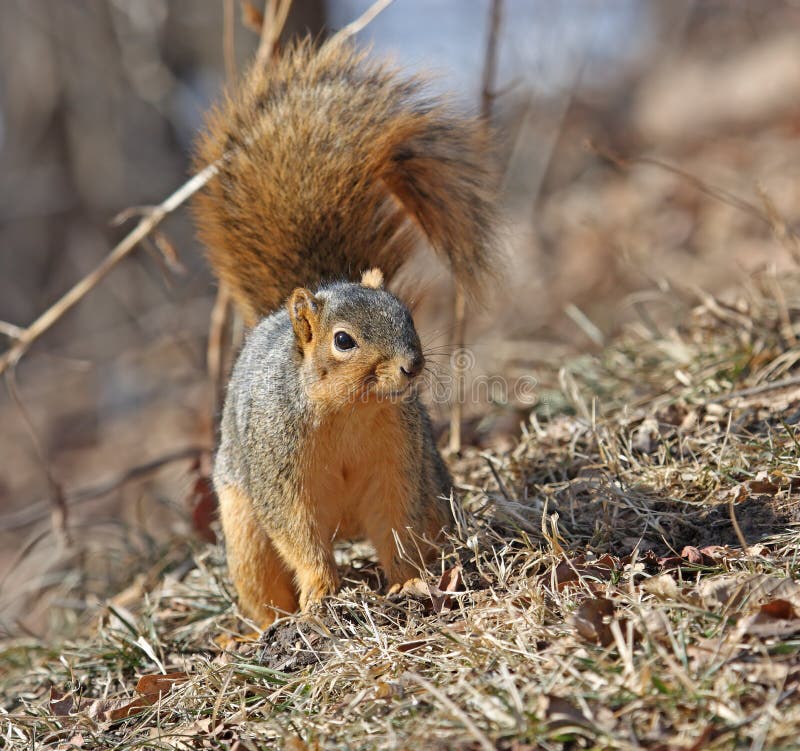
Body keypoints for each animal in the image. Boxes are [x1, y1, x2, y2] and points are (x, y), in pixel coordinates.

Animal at [191, 35, 496, 624]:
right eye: (343, 341)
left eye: (405, 313)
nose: (411, 365)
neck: (349, 411)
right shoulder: (278, 471)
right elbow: (299, 535)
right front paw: (322, 593)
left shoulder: (398, 461)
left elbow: (397, 524)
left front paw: (408, 583)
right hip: (243, 530)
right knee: (265, 584)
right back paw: (262, 629)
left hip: (435, 489)